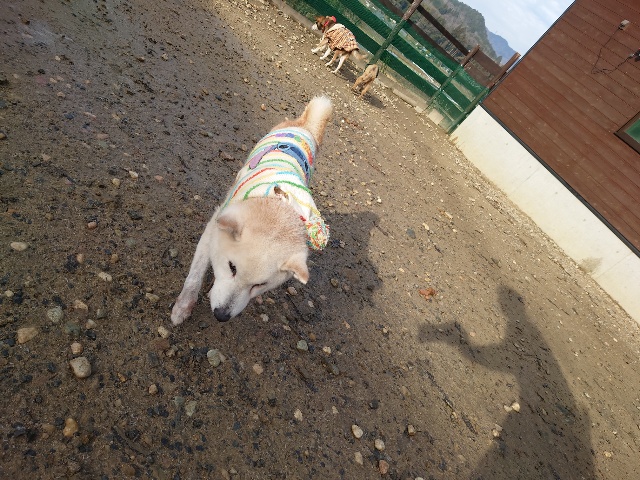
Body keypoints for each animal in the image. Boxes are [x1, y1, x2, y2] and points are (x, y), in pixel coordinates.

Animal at [171, 96, 333, 324]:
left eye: (259, 285)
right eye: (232, 267)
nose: (221, 315)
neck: (279, 209)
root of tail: (304, 126)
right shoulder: (213, 227)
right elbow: (195, 275)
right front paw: (183, 307)